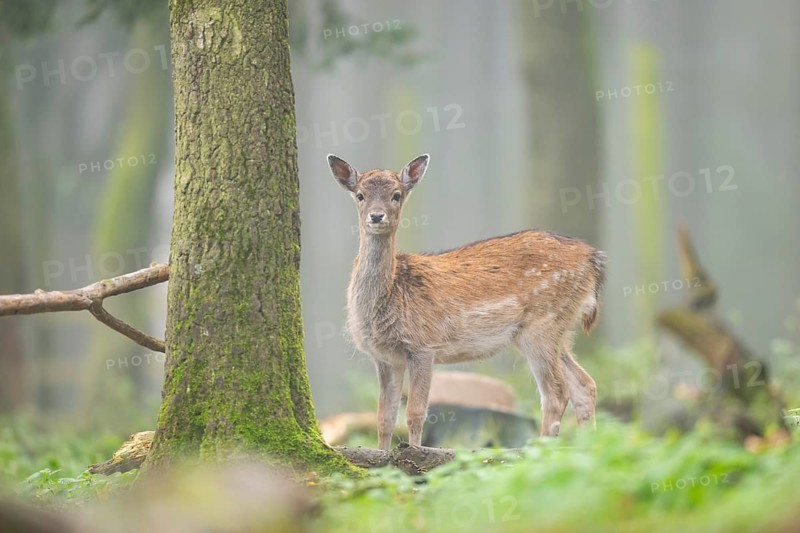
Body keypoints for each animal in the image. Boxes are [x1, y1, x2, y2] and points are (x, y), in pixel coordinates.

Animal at [328, 153, 606, 450]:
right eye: (360, 195)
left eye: (396, 195)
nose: (376, 215)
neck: (393, 292)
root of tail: (593, 259)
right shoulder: (385, 358)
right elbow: (384, 418)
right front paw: (383, 456)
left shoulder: (423, 345)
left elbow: (415, 413)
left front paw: (414, 452)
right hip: (556, 329)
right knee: (585, 384)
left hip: (542, 324)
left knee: (556, 391)